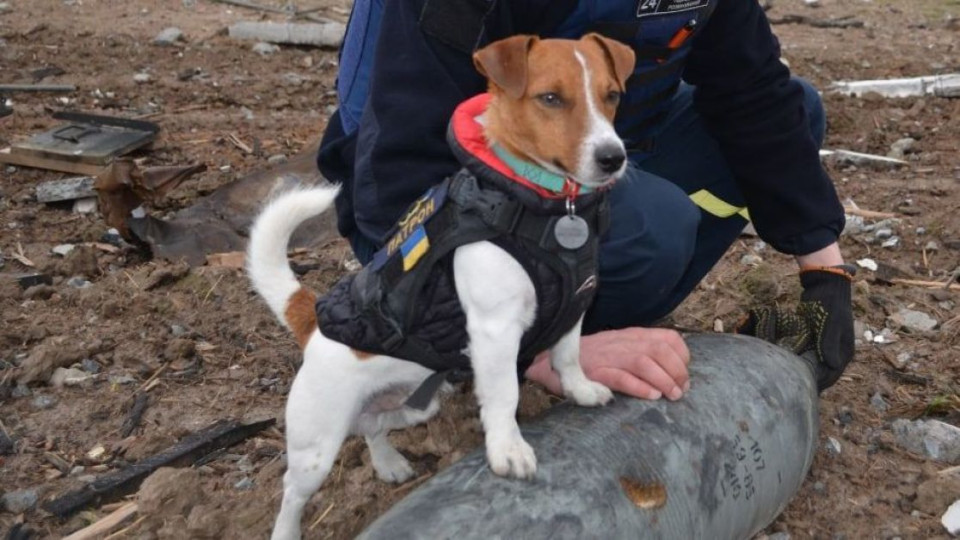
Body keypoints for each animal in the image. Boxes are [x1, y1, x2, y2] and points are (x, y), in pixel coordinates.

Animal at [248, 34, 636, 540]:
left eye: (612, 95)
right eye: (551, 98)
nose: (613, 157)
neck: (551, 208)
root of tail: (312, 323)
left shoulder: (575, 302)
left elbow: (569, 355)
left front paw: (581, 390)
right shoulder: (494, 330)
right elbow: (505, 394)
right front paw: (507, 449)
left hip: (415, 405)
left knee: (373, 425)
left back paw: (388, 462)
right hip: (317, 443)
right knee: (293, 492)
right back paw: (288, 528)